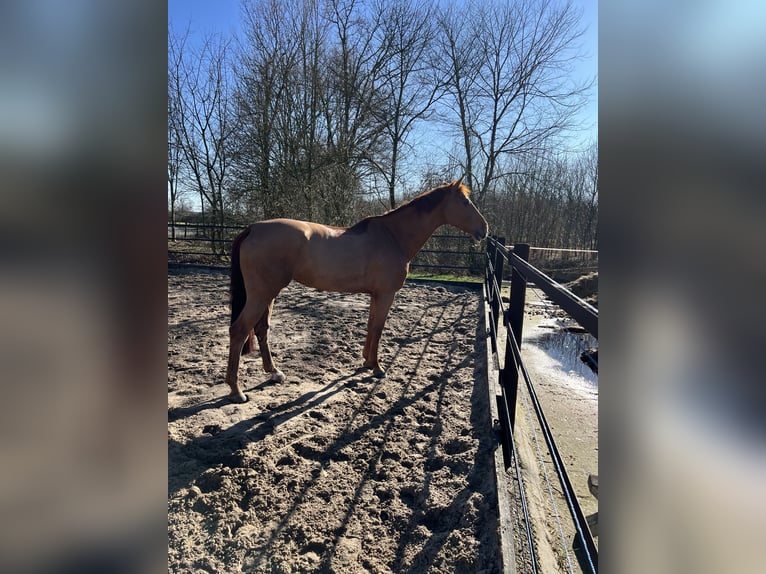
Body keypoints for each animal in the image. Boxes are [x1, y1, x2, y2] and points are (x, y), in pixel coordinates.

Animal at [225, 178, 488, 403]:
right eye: (465, 202)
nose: (484, 229)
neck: (393, 236)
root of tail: (253, 228)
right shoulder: (386, 295)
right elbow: (379, 329)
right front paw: (377, 368)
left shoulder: (376, 295)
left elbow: (371, 326)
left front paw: (366, 362)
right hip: (261, 295)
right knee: (239, 331)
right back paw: (236, 391)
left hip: (268, 294)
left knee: (261, 329)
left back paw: (274, 372)